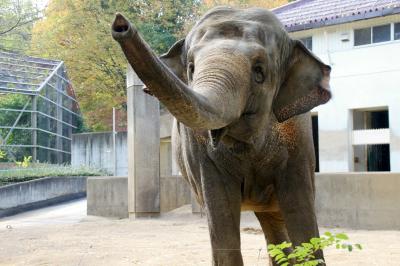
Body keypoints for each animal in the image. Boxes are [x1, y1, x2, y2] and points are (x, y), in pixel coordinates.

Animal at [111, 6, 332, 266]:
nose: (121, 24)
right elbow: (221, 213)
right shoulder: (201, 155)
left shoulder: (298, 139)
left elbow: (301, 210)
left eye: (259, 71)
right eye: (191, 68)